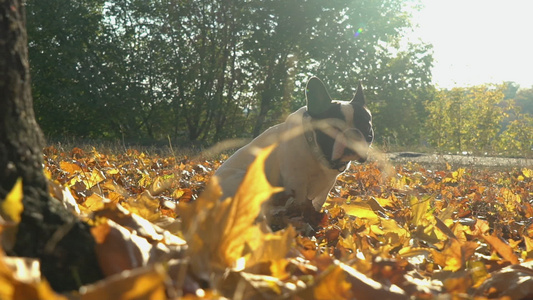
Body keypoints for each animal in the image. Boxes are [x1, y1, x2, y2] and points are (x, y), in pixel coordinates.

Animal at [214, 77, 372, 230]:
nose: (353, 135)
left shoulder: (326, 186)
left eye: (368, 129)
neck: (316, 152)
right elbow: (300, 207)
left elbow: (317, 204)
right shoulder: (297, 183)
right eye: (332, 129)